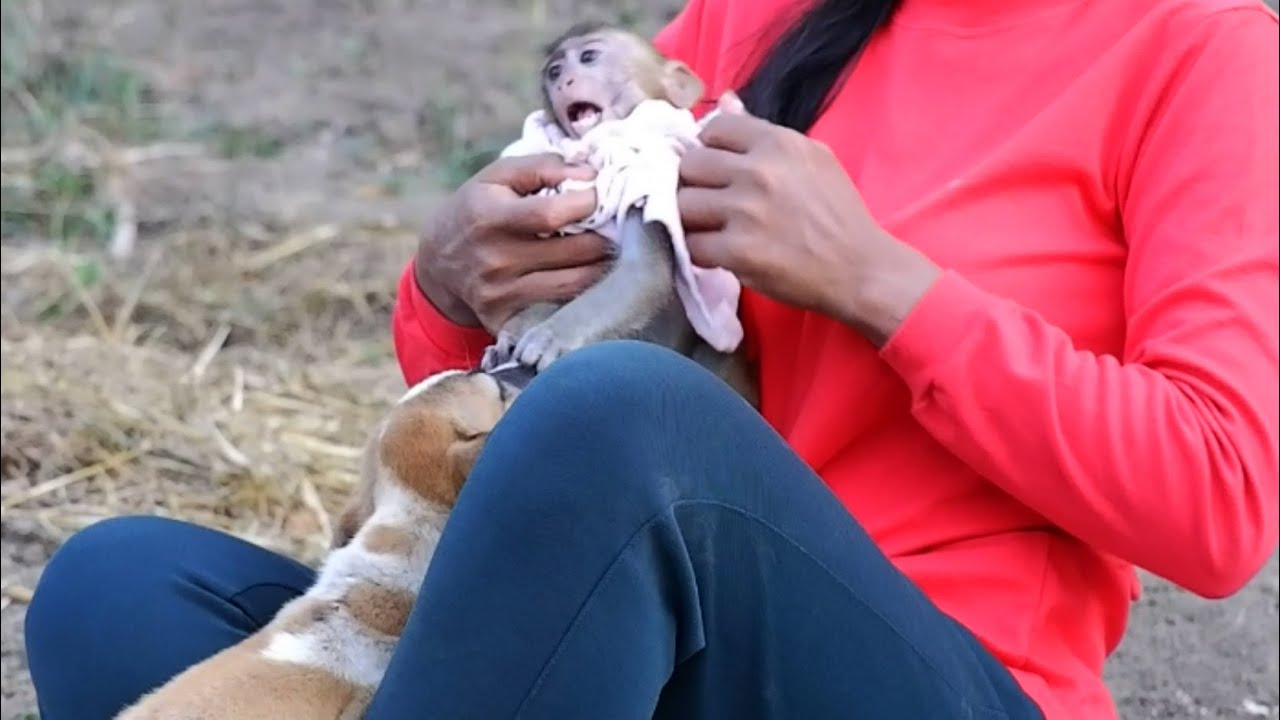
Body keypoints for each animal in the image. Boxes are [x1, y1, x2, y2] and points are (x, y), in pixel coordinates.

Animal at [479, 22, 759, 409]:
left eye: (588, 57)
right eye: (554, 71)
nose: (562, 81)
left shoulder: (643, 180)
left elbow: (644, 272)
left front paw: (550, 335)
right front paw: (515, 330)